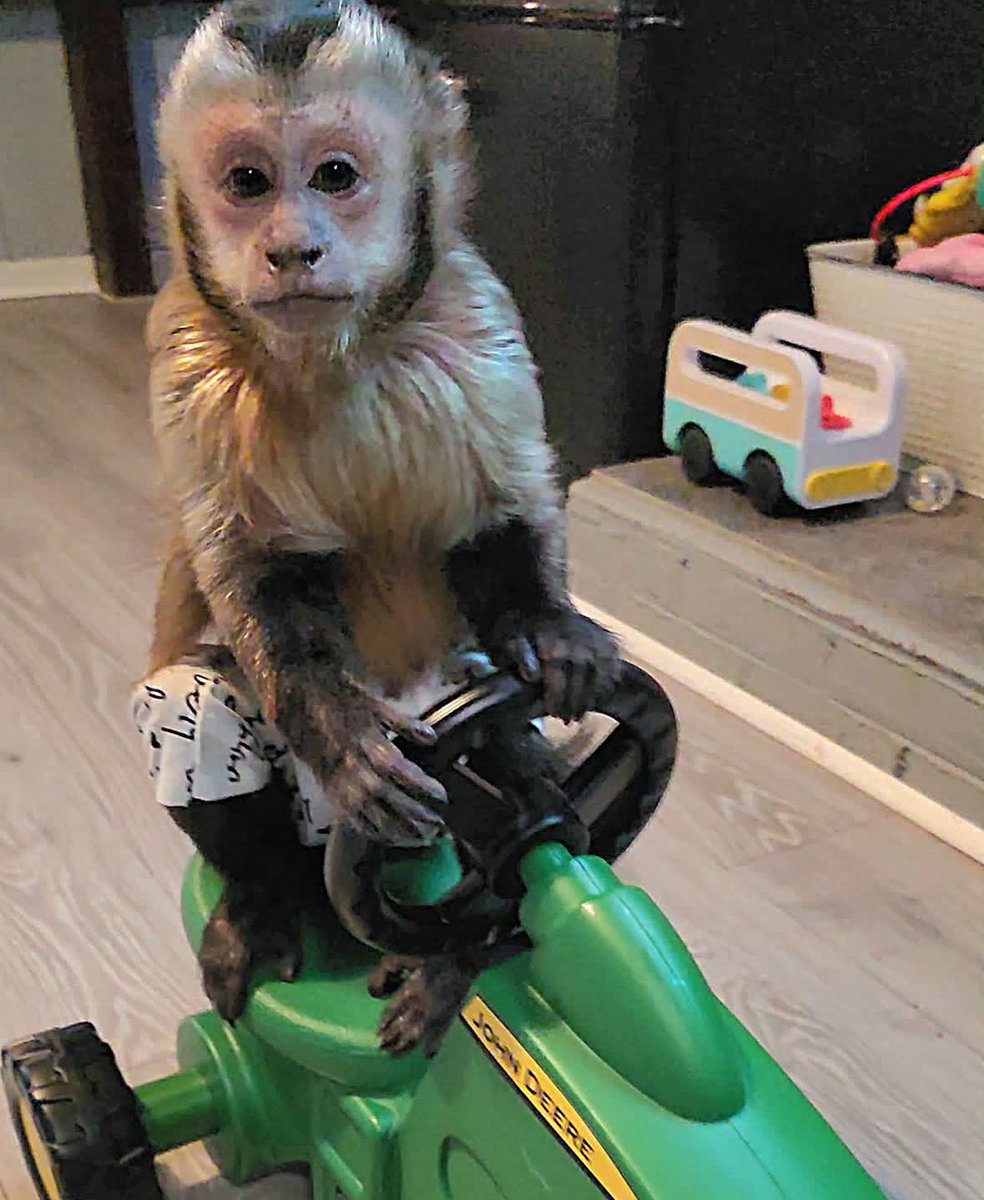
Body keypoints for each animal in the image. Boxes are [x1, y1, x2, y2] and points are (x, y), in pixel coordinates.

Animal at [135, 0, 620, 1054]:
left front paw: (552, 629)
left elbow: (503, 510)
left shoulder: (478, 318)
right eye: (248, 183)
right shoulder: (183, 349)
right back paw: (264, 902)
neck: (338, 355)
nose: (292, 247)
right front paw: (347, 735)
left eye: (334, 176)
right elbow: (250, 571)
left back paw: (458, 949)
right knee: (191, 699)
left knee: (498, 725)